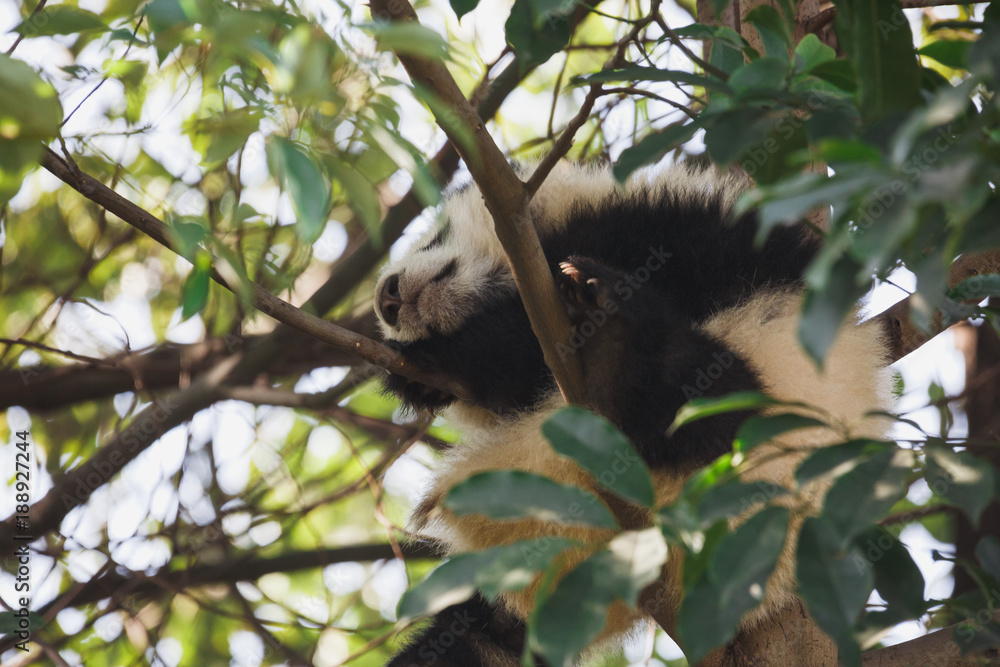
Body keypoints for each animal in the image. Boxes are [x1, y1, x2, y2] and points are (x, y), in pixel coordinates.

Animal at [374, 161, 894, 666]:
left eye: (435, 236)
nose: (387, 298)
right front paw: (419, 378)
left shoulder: (664, 230)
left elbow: (530, 334)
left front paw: (449, 355)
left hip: (769, 417)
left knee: (700, 394)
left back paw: (615, 334)